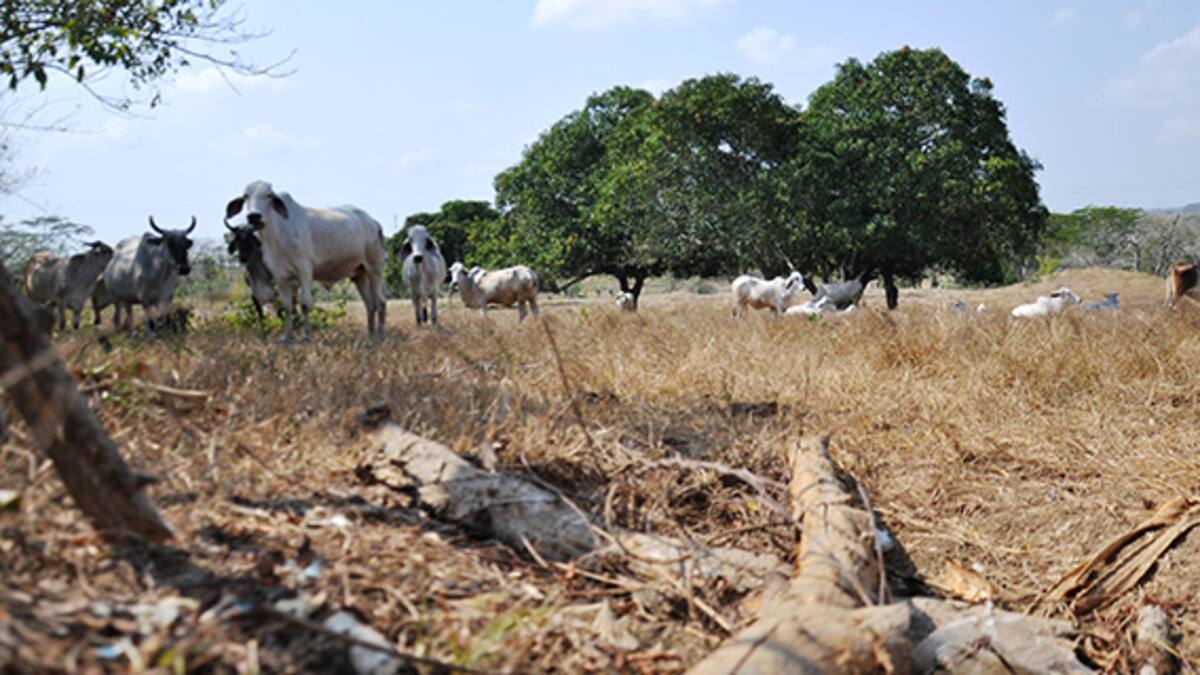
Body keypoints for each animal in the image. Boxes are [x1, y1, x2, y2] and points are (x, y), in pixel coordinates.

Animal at [225, 180, 387, 341]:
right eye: (245, 196)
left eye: (269, 195)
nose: (254, 216)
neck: (277, 236)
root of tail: (374, 223)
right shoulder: (280, 275)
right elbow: (287, 307)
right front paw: (286, 337)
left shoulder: (304, 271)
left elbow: (304, 305)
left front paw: (306, 336)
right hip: (359, 274)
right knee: (370, 304)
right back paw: (370, 334)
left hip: (375, 268)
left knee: (381, 302)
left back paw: (380, 335)